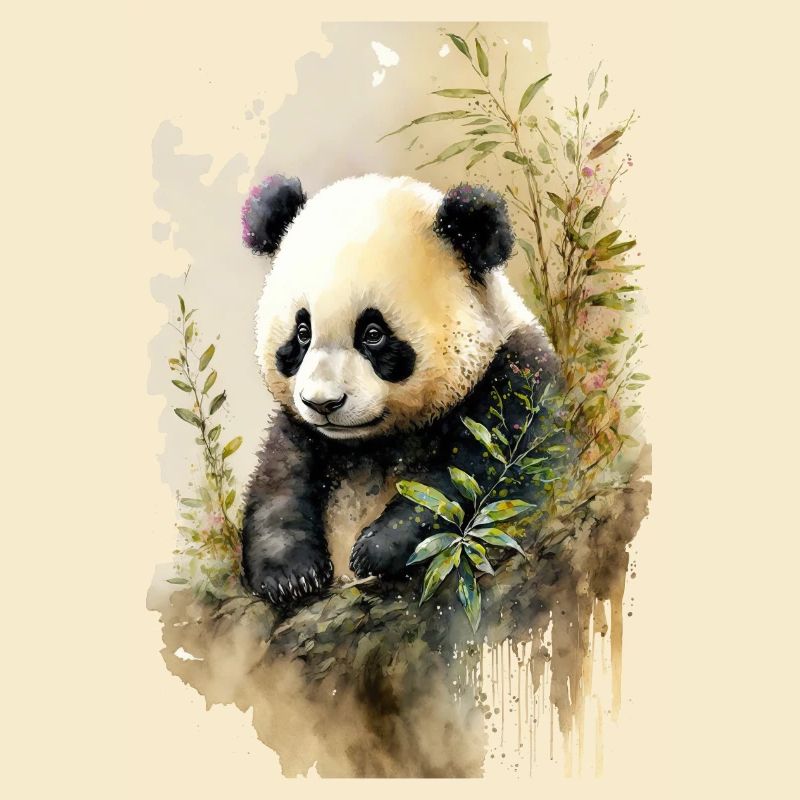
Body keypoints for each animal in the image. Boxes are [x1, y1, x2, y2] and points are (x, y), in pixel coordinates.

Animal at [240, 173, 562, 605]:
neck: (372, 444)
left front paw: (377, 548)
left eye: (373, 334)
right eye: (302, 332)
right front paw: (290, 575)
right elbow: (278, 483)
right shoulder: (302, 432)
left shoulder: (513, 383)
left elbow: (475, 474)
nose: (323, 403)